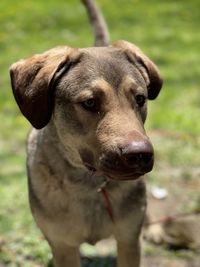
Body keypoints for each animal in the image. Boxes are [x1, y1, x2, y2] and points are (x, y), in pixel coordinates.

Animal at [9, 0, 162, 267]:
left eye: (140, 98)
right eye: (90, 102)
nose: (140, 154)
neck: (90, 184)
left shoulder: (129, 239)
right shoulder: (63, 246)